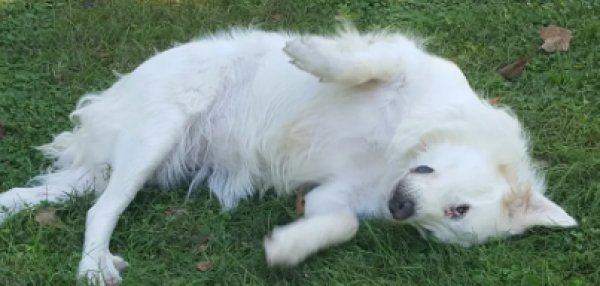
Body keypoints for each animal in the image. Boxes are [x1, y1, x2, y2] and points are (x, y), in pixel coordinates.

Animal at [0, 25, 576, 284]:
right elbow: (363, 66)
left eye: (450, 219)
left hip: (133, 161)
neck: (402, 151)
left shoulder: (335, 196)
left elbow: (342, 223)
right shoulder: (402, 63)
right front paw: (309, 55)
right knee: (101, 208)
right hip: (154, 135)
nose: (402, 210)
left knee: (70, 195)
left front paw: (288, 248)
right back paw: (93, 264)